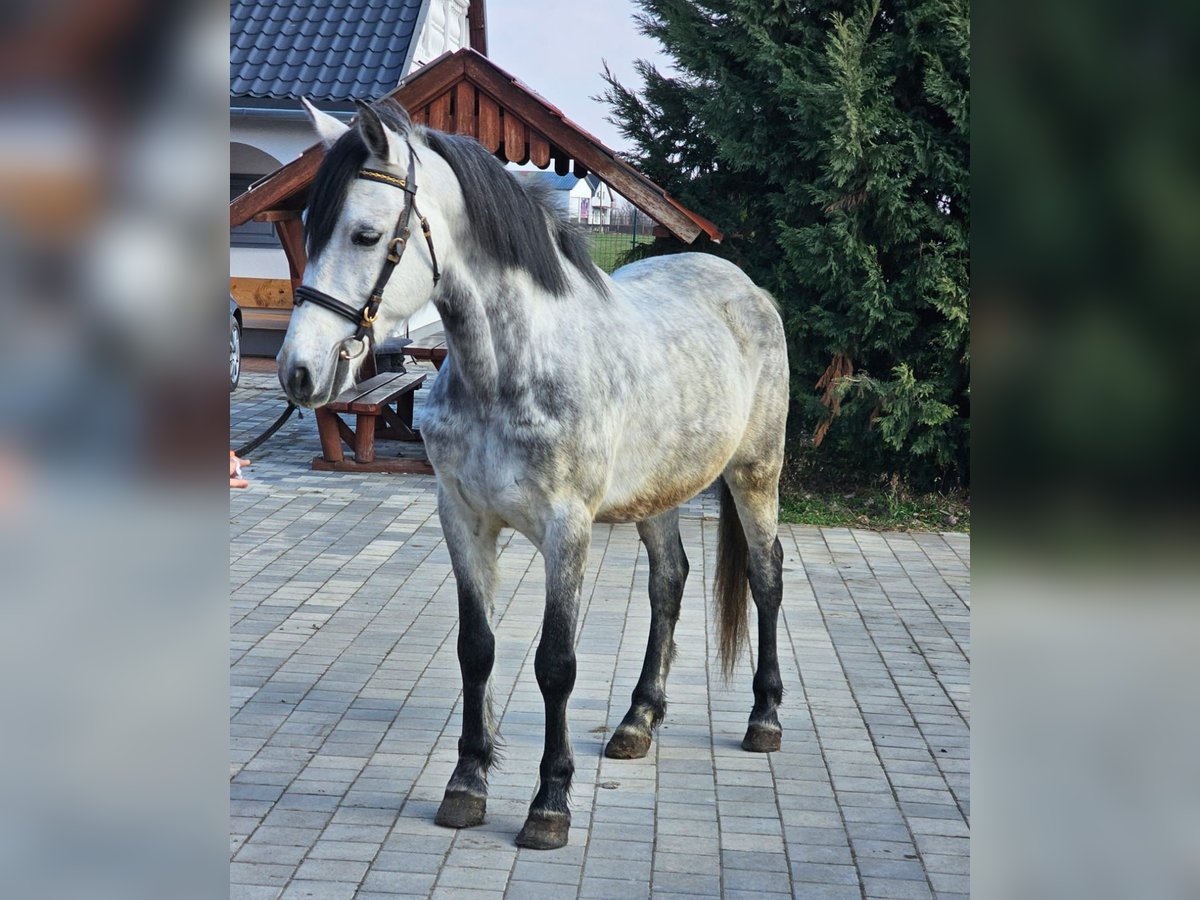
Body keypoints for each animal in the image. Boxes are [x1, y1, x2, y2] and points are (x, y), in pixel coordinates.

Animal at [276, 100, 792, 854]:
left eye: (365, 234)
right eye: (308, 230)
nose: (300, 372)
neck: (508, 370)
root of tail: (749, 289)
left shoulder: (565, 531)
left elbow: (556, 664)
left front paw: (550, 803)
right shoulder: (462, 520)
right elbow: (477, 649)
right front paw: (467, 783)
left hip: (756, 474)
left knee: (764, 576)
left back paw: (764, 718)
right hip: (658, 493)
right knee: (669, 582)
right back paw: (638, 721)